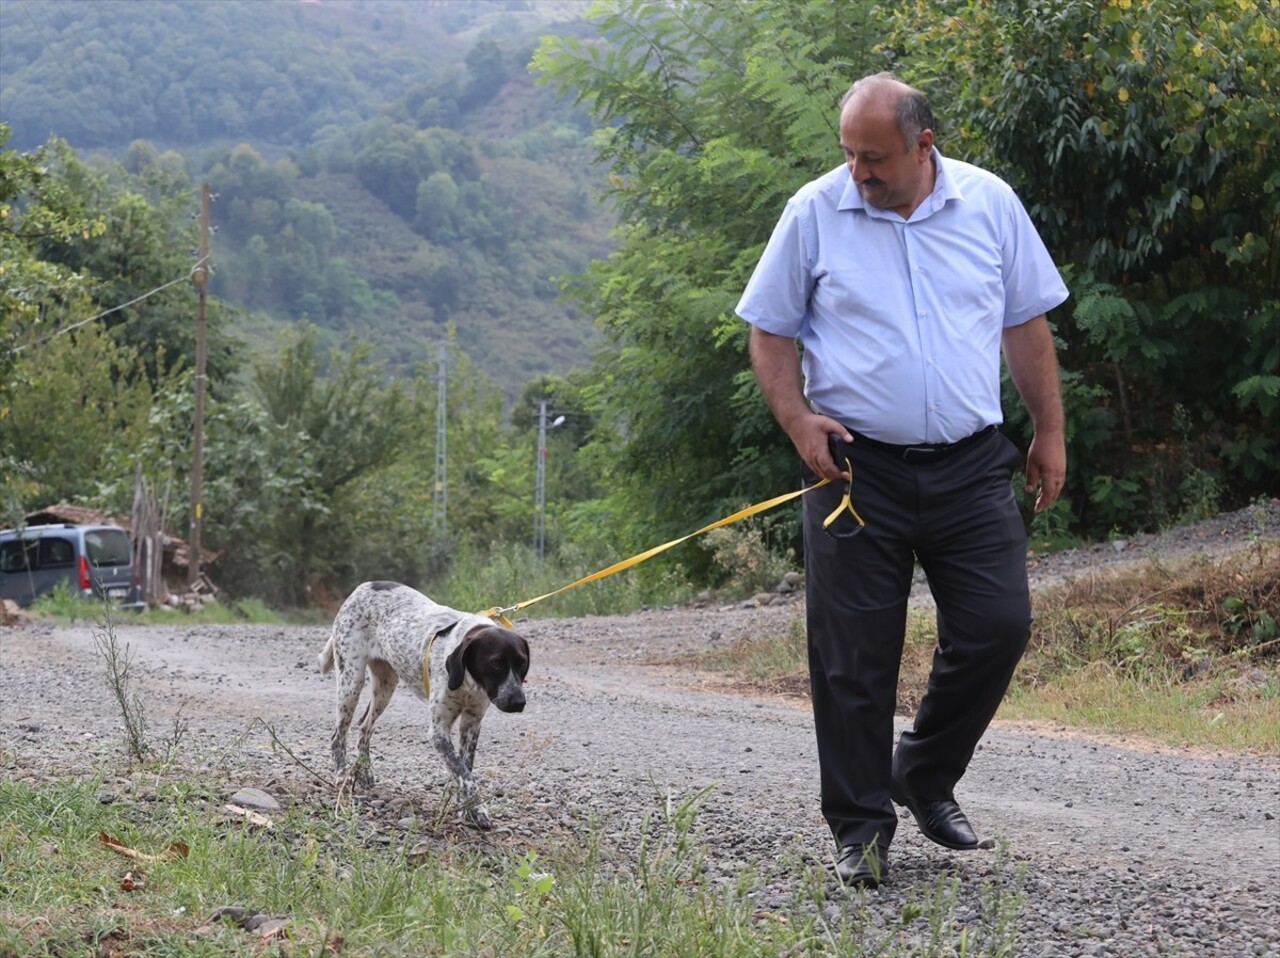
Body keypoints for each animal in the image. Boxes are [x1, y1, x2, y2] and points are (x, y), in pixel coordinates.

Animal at [317, 578, 532, 824]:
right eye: (495, 664)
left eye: (522, 664)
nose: (518, 702)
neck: (469, 683)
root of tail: (363, 586)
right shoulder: (439, 731)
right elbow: (464, 774)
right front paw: (477, 810)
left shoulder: (472, 723)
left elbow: (465, 768)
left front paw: (465, 808)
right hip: (351, 682)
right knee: (338, 736)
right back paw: (340, 776)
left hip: (385, 685)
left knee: (364, 727)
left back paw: (365, 773)